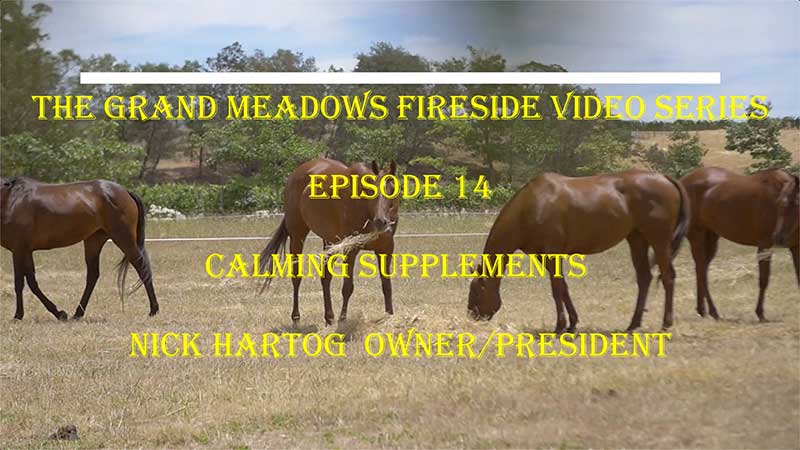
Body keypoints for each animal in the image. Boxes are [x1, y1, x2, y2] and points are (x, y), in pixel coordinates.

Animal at [0, 177, 159, 320]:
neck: (10, 199)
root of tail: (125, 191)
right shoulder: (26, 250)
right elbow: (32, 282)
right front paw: (59, 313)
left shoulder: (19, 249)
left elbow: (20, 283)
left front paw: (18, 315)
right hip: (93, 241)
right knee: (93, 275)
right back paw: (78, 313)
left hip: (124, 239)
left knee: (142, 268)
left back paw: (153, 310)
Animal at [258, 158, 399, 325]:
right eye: (371, 191)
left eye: (392, 189)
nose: (381, 222)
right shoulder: (350, 250)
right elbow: (348, 287)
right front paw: (343, 320)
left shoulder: (385, 249)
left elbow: (387, 285)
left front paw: (390, 315)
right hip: (297, 237)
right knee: (296, 277)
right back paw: (296, 317)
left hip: (329, 241)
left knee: (325, 277)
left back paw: (329, 317)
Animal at [467, 170, 689, 332]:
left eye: (477, 290)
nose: (471, 314)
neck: (532, 205)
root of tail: (665, 178)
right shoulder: (544, 257)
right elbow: (563, 287)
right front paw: (572, 323)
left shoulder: (552, 253)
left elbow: (557, 289)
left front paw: (560, 326)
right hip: (637, 240)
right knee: (644, 278)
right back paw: (633, 324)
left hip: (659, 241)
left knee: (668, 277)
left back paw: (666, 323)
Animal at [681, 167, 799, 322]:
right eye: (779, 204)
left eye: (796, 203)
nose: (778, 237)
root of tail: (683, 181)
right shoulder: (764, 246)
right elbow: (763, 280)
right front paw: (760, 314)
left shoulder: (796, 247)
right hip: (697, 236)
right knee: (701, 271)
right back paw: (713, 311)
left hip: (711, 238)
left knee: (701, 269)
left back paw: (702, 310)